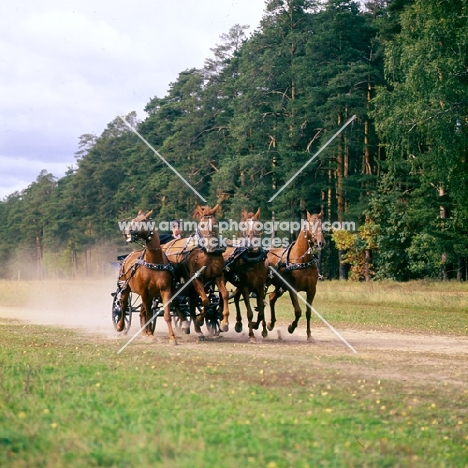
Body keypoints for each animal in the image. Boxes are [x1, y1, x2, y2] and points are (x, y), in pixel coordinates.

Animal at [115, 210, 177, 346]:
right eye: (133, 219)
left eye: (143, 220)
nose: (128, 232)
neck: (154, 262)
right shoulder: (144, 292)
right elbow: (148, 314)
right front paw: (151, 335)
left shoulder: (165, 291)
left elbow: (166, 314)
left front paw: (172, 337)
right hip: (125, 288)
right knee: (123, 306)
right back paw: (120, 327)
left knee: (142, 312)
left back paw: (144, 333)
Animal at [162, 203, 231, 338]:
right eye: (202, 225)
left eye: (216, 223)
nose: (211, 247)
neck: (206, 253)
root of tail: (165, 246)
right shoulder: (196, 278)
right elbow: (205, 300)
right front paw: (199, 320)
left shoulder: (218, 275)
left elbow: (225, 294)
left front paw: (224, 323)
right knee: (175, 300)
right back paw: (185, 323)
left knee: (191, 303)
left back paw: (197, 330)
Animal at [222, 208, 266, 344]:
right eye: (243, 226)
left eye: (258, 225)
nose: (253, 245)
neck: (253, 260)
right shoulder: (246, 287)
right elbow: (250, 313)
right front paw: (251, 336)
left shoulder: (260, 287)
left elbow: (261, 312)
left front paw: (256, 326)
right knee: (223, 296)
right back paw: (224, 323)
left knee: (236, 297)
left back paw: (238, 324)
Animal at [266, 210, 326, 342]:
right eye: (310, 225)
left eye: (322, 225)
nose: (320, 242)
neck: (302, 259)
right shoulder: (292, 288)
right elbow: (298, 311)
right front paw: (291, 327)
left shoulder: (311, 290)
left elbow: (308, 312)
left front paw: (309, 335)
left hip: (280, 287)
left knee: (272, 297)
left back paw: (270, 324)